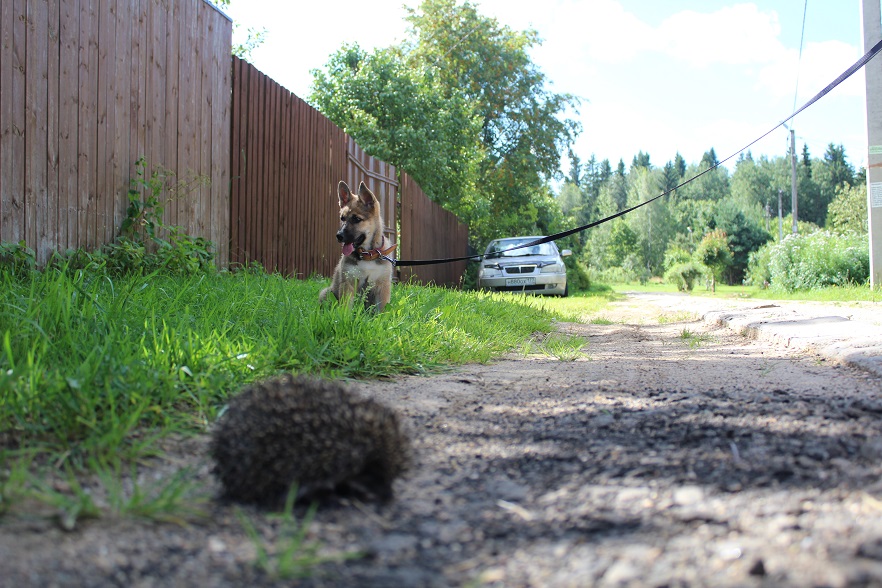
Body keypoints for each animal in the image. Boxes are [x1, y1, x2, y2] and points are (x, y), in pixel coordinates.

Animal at [319, 180, 396, 312]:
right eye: (342, 218)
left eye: (356, 219)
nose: (339, 236)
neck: (367, 254)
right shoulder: (348, 282)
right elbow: (346, 307)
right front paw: (344, 316)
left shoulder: (383, 285)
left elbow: (382, 309)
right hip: (326, 292)